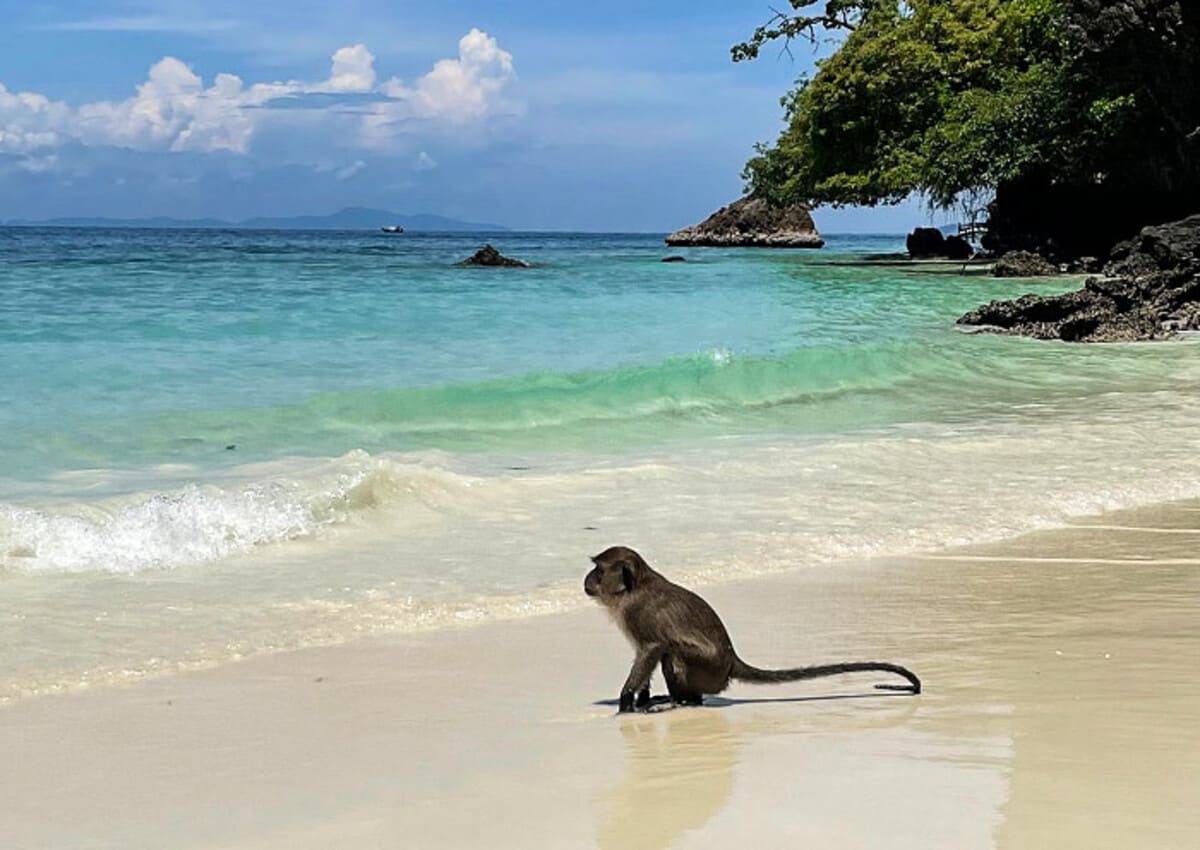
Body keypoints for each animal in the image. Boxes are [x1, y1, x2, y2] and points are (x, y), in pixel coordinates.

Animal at [584, 546, 921, 712]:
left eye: (599, 570)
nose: (587, 579)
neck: (634, 589)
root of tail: (733, 661)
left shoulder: (641, 613)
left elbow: (654, 649)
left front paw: (626, 703)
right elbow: (647, 656)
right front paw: (639, 699)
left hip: (708, 671)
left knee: (674, 654)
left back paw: (681, 703)